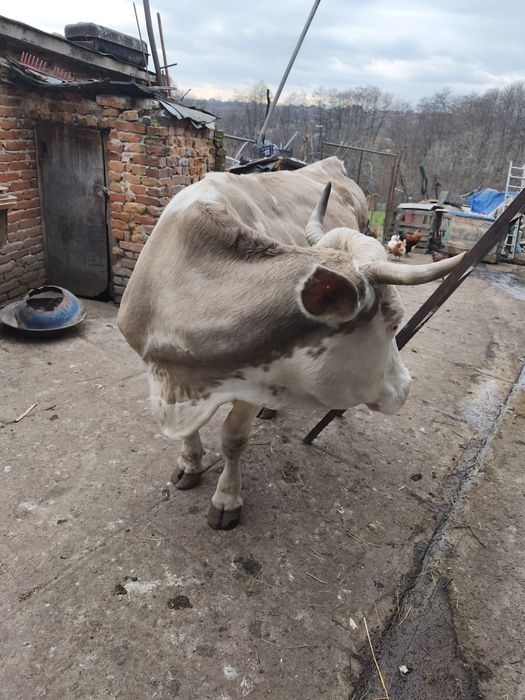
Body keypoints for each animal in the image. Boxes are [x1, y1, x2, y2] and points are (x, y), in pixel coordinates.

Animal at [117, 157, 463, 530]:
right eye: (395, 322)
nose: (406, 386)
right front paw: (189, 464)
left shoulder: (253, 383)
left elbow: (233, 439)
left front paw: (227, 500)